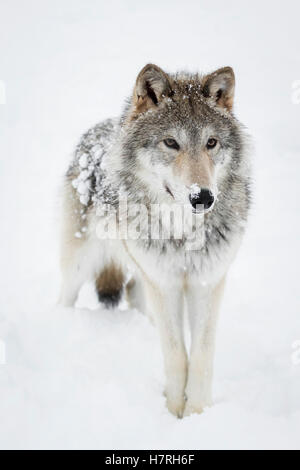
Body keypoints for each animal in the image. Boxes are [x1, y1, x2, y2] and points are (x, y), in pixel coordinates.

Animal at [58, 63, 251, 418]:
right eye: (171, 142)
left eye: (212, 142)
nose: (203, 197)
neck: (183, 233)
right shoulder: (165, 283)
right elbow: (176, 355)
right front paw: (174, 411)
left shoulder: (206, 282)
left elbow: (201, 357)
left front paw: (198, 414)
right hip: (82, 263)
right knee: (66, 295)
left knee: (135, 292)